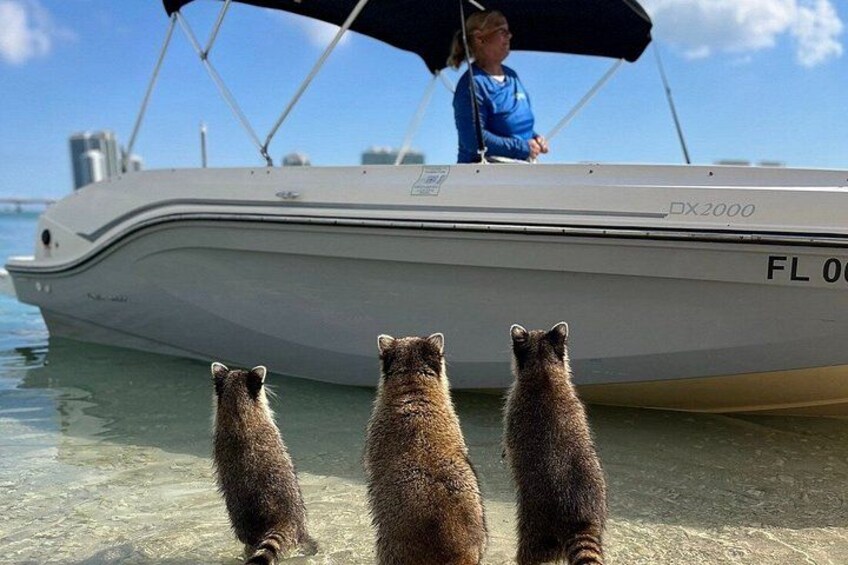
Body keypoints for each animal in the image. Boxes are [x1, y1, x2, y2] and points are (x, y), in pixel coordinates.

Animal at [503, 323, 607, 565]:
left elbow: (509, 441)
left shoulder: (513, 409)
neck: (544, 367)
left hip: (534, 523)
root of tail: (579, 519)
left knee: (529, 553)